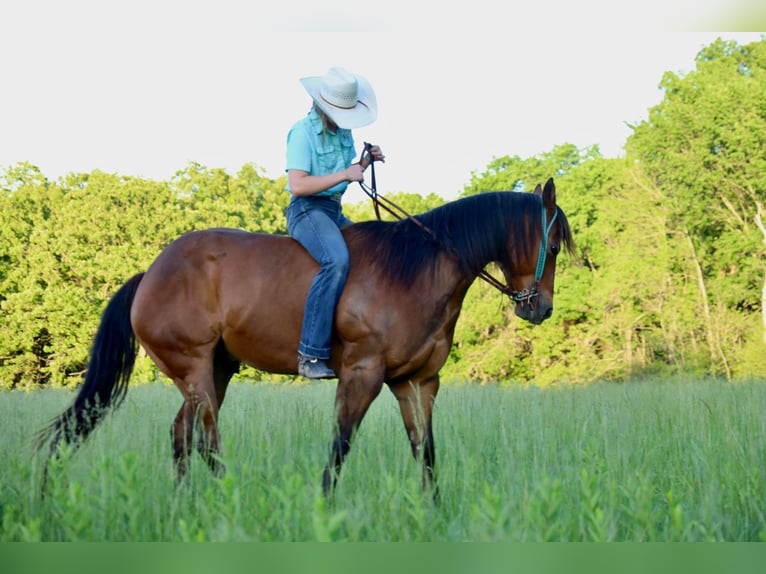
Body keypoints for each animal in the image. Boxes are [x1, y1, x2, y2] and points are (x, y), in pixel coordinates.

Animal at [37, 179, 576, 500]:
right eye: (552, 245)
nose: (541, 308)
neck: (417, 270)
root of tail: (150, 273)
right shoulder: (362, 376)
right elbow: (340, 446)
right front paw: (324, 508)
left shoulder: (417, 383)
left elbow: (425, 452)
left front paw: (434, 511)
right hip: (194, 370)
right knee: (207, 438)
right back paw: (227, 501)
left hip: (215, 370)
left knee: (180, 435)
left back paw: (185, 504)